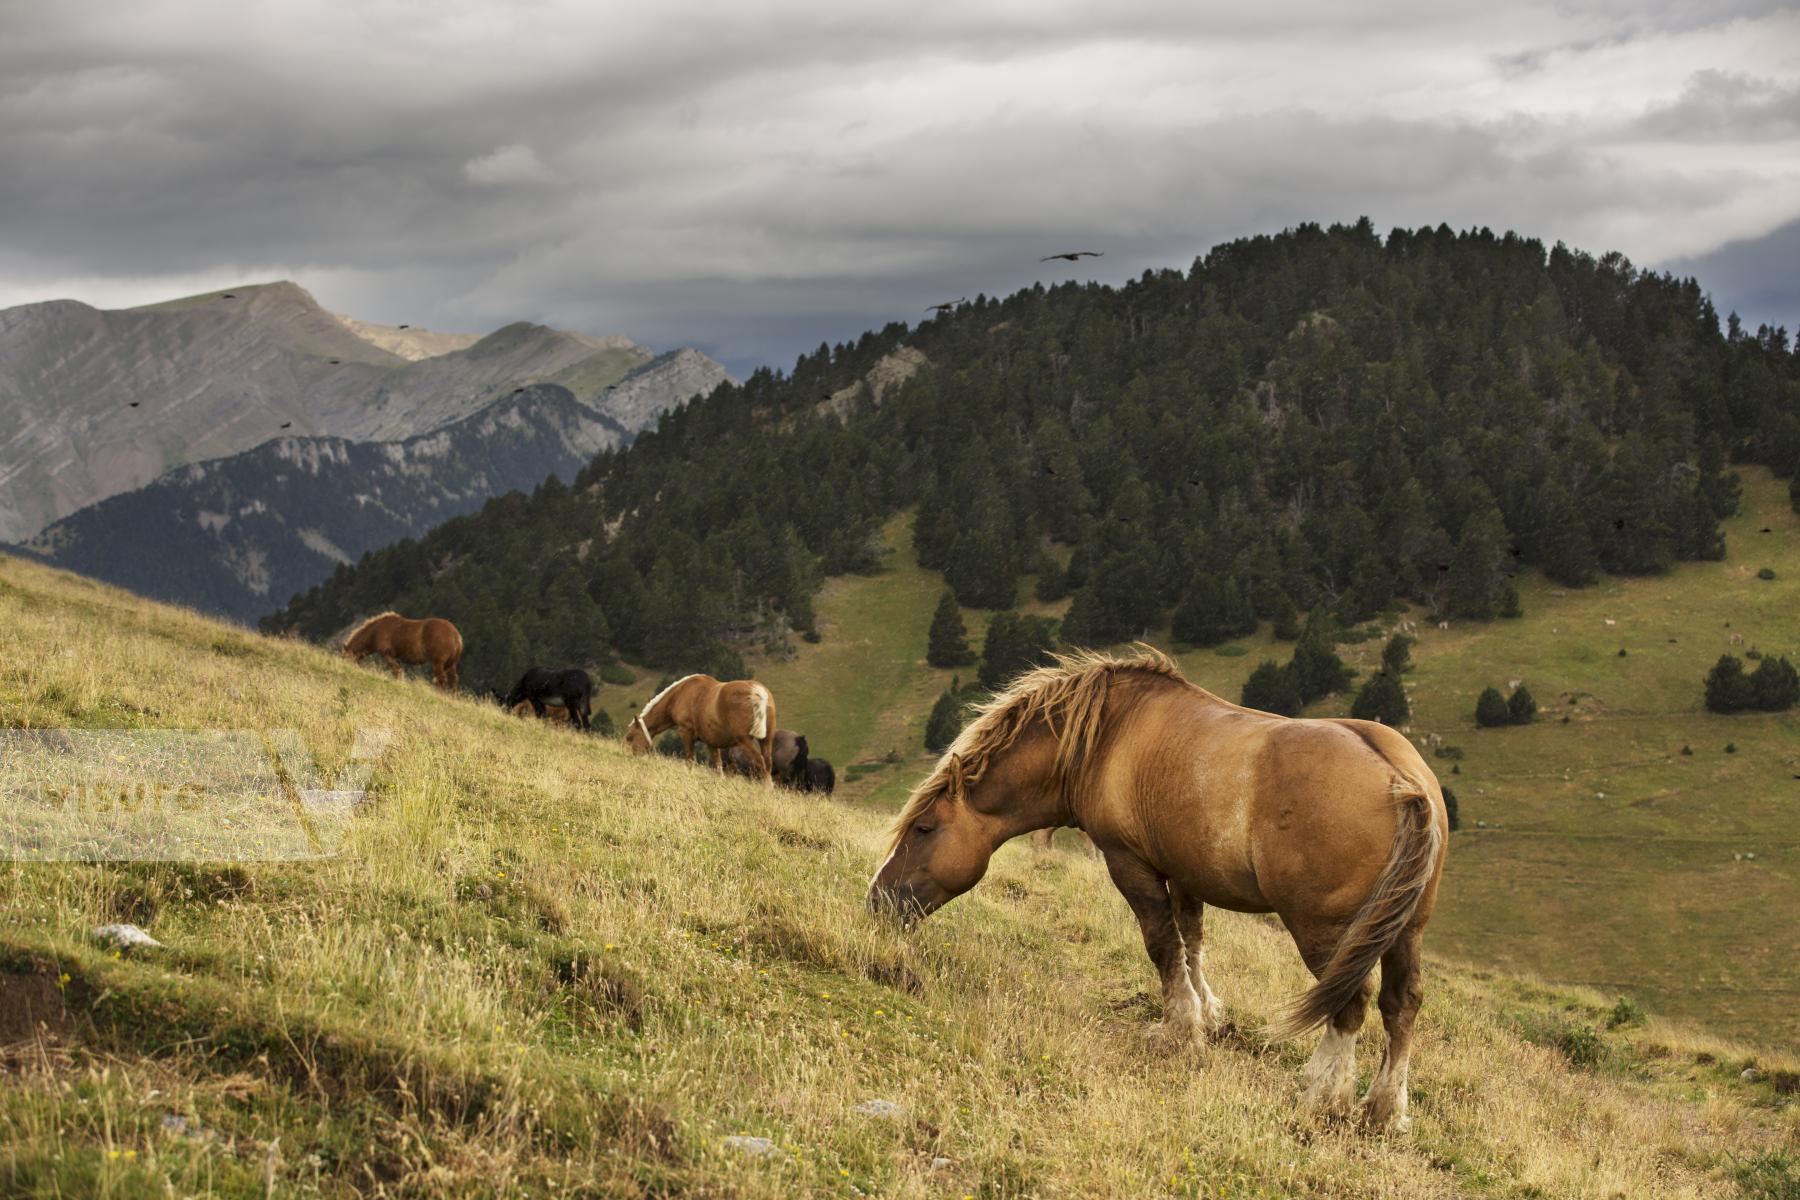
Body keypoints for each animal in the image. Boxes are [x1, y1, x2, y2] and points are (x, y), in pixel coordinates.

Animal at [626, 672, 774, 784]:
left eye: (630, 737)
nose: (628, 756)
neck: (679, 694)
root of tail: (758, 692)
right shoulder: (712, 743)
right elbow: (718, 767)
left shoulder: (685, 732)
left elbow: (690, 760)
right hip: (766, 740)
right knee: (767, 763)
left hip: (745, 740)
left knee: (760, 761)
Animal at [871, 647, 1447, 1137]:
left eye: (923, 828)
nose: (877, 899)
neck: (1105, 737)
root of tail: (1403, 780)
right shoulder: (1186, 871)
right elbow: (1191, 942)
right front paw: (1207, 1014)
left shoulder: (1131, 864)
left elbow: (1162, 944)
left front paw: (1178, 1029)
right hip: (1404, 931)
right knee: (1401, 1005)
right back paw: (1384, 1110)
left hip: (1325, 932)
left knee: (1352, 1002)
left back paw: (1322, 1097)